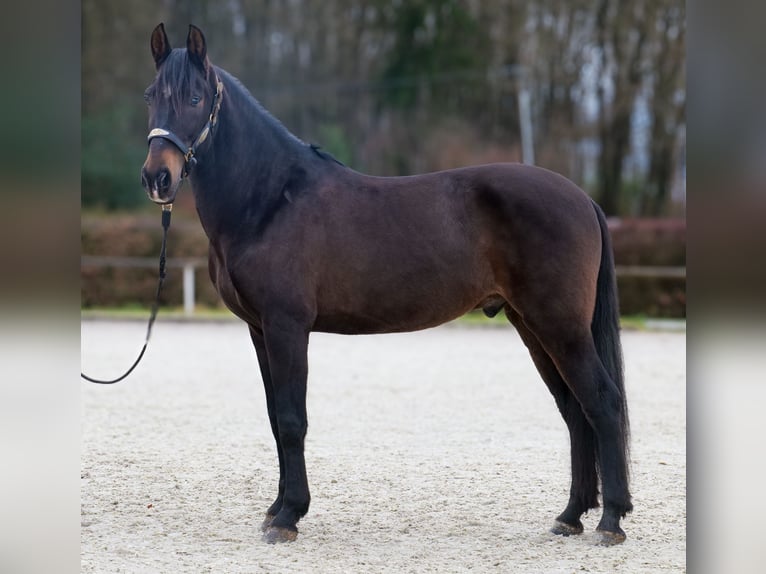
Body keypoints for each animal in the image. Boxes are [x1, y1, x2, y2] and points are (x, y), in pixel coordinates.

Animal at [140, 23, 632, 545]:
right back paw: (571, 515)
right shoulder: (259, 331)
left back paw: (610, 521)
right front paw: (275, 510)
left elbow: (292, 421)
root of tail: (582, 198)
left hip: (560, 328)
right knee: (575, 410)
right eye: (151, 95)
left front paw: (290, 516)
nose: (158, 177)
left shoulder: (287, 327)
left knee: (603, 404)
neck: (270, 200)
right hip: (533, 327)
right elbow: (275, 419)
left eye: (195, 97)